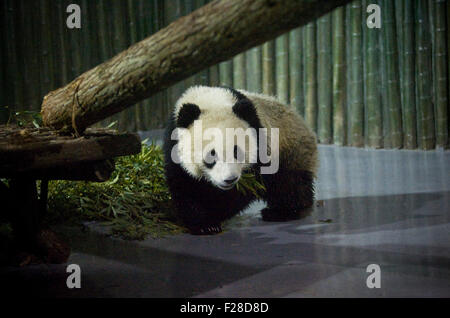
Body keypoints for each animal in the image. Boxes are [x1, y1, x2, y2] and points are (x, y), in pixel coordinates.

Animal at [163, 85, 316, 235]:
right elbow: (185, 187)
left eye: (237, 152)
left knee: (289, 184)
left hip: (290, 151)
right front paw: (205, 225)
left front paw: (215, 214)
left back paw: (280, 212)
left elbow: (248, 187)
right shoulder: (174, 148)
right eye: (211, 155)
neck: (211, 100)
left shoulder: (260, 140)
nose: (229, 179)